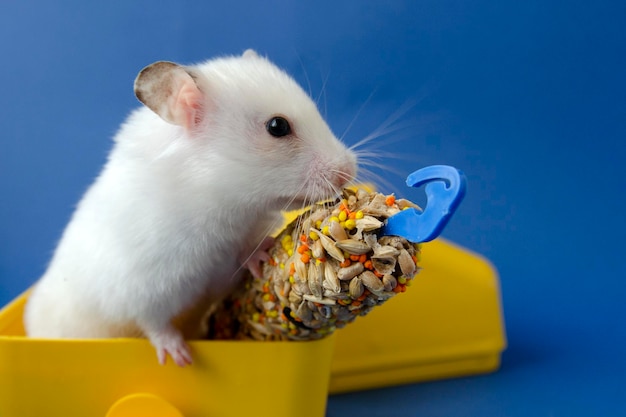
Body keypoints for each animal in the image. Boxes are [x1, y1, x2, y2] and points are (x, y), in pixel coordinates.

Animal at [24, 50, 356, 366]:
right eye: (277, 126)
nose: (349, 170)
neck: (224, 205)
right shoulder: (142, 288)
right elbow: (154, 323)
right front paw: (181, 358)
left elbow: (248, 251)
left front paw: (262, 254)